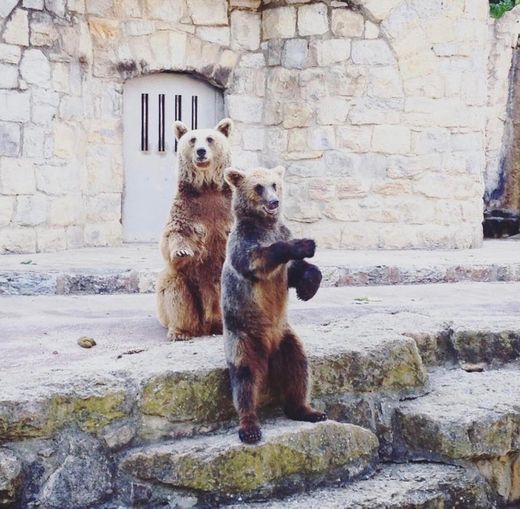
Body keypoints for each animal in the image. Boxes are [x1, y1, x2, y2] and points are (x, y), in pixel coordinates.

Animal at [156, 118, 234, 340]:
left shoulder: (228, 207)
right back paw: (180, 331)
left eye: (210, 139)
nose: (200, 151)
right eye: (192, 139)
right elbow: (174, 233)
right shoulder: (187, 208)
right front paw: (182, 251)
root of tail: (210, 324)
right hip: (188, 287)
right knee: (174, 288)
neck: (207, 186)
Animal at [220, 165, 324, 442]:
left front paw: (307, 288)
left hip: (286, 338)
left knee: (299, 369)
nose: (274, 202)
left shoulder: (281, 235)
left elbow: (295, 272)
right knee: (244, 380)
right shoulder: (244, 242)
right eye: (258, 187)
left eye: (275, 184)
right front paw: (303, 245)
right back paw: (250, 427)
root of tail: (267, 351)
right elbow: (258, 258)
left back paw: (308, 411)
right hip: (242, 337)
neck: (265, 225)